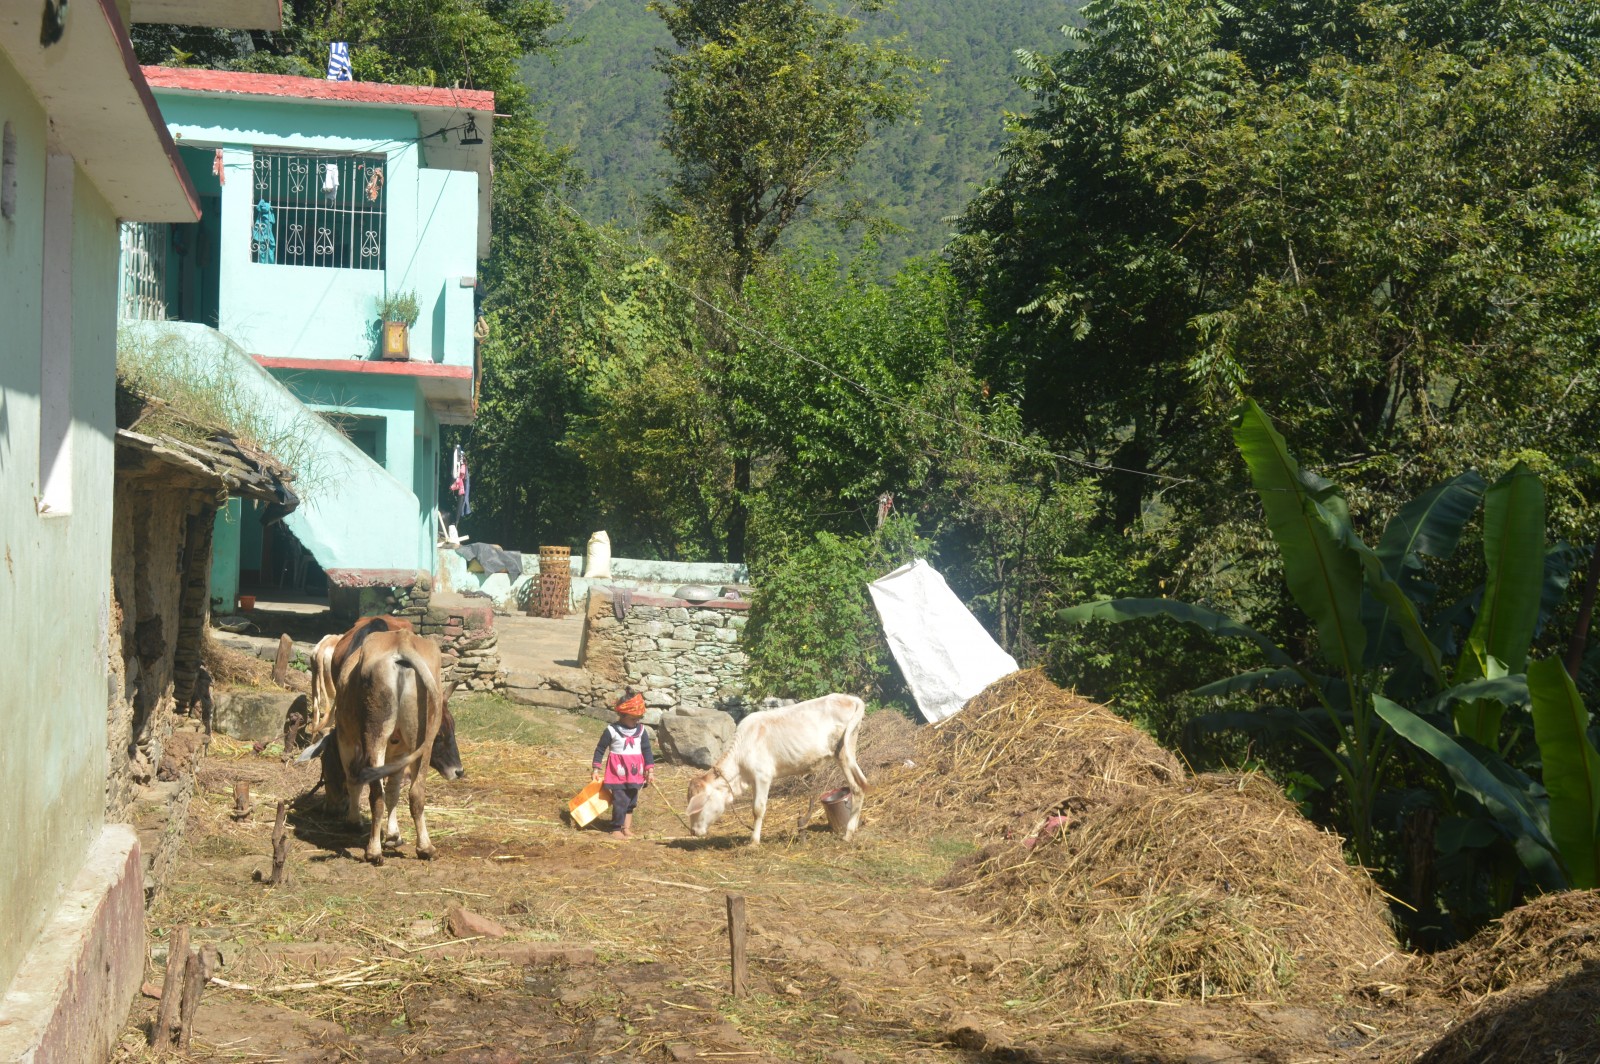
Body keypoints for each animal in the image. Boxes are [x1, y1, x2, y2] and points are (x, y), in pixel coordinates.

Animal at [684, 694, 870, 844]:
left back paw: (848, 834)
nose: (693, 831)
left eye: (698, 807)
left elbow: (758, 809)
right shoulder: (754, 780)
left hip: (844, 752)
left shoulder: (763, 776)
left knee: (857, 787)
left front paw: (754, 842)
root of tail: (851, 699)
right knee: (861, 784)